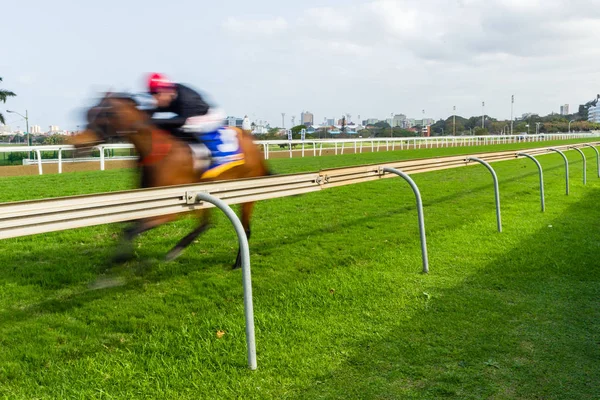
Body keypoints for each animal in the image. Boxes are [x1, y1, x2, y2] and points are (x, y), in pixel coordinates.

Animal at [71, 94, 270, 268]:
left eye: (104, 114)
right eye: (88, 112)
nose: (77, 143)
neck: (156, 150)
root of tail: (253, 146)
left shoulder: (173, 207)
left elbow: (130, 230)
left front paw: (120, 260)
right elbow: (127, 226)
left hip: (246, 192)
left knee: (244, 229)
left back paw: (237, 264)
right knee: (206, 223)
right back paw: (177, 250)